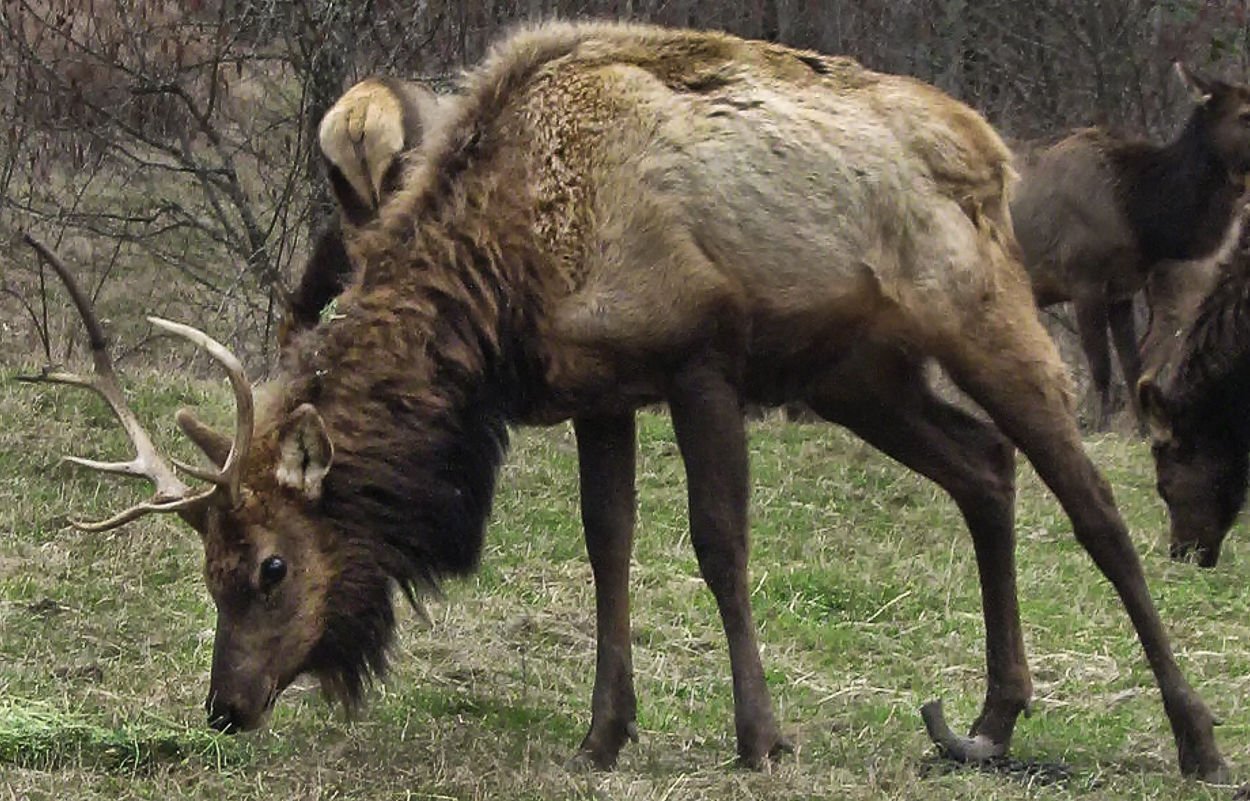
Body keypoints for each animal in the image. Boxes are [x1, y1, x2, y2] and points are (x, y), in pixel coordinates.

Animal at [1011, 63, 1250, 431]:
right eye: (1245, 114)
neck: (1139, 215)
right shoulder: (1083, 277)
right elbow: (1101, 366)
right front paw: (1101, 428)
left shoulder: (1121, 288)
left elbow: (1131, 363)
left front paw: (1142, 427)